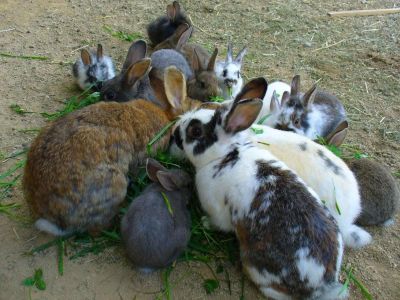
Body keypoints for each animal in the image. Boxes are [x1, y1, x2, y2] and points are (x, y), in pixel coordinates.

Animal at [172, 97, 346, 298]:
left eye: (195, 131)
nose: (175, 132)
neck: (225, 156)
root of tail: (322, 285)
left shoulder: (218, 210)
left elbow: (218, 223)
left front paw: (205, 223)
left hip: (257, 267)